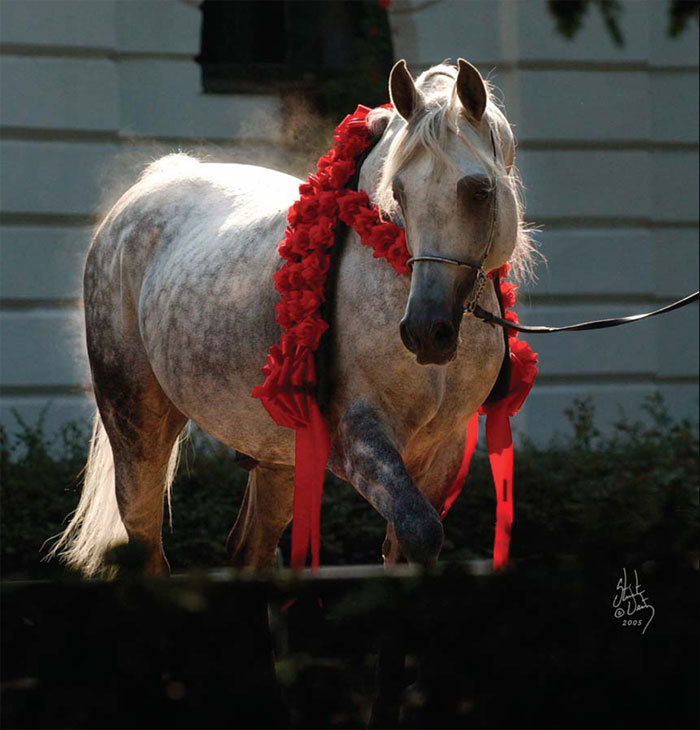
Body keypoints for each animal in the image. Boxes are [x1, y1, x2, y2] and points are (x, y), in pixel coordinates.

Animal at [49, 59, 532, 576]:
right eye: (398, 191)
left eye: (479, 190)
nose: (425, 331)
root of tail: (145, 191)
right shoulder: (358, 438)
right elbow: (420, 531)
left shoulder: (443, 448)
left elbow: (409, 541)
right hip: (136, 429)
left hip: (278, 457)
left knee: (250, 549)